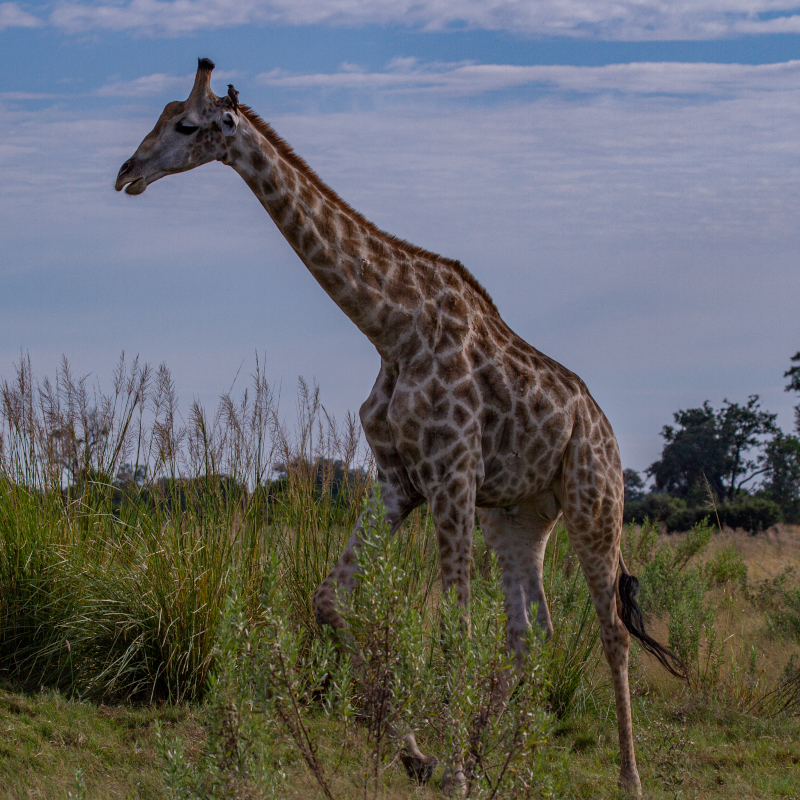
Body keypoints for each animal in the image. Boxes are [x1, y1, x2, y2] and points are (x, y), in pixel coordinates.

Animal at [116, 58, 684, 796]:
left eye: (185, 124)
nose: (126, 172)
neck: (391, 327)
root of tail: (607, 430)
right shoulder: (398, 480)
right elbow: (330, 601)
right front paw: (414, 749)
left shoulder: (450, 478)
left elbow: (449, 632)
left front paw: (439, 761)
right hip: (520, 516)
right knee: (531, 632)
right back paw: (493, 757)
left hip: (595, 502)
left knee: (610, 632)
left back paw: (625, 777)